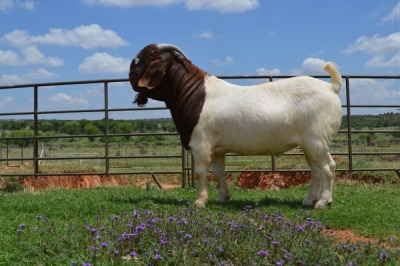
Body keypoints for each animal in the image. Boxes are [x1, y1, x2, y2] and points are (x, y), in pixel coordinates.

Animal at [130, 44, 342, 210]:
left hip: (317, 139)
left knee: (328, 167)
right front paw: (223, 197)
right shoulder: (217, 149)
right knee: (315, 169)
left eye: (147, 57)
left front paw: (200, 202)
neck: (196, 93)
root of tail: (331, 87)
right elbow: (218, 172)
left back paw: (323, 202)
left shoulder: (201, 143)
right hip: (309, 144)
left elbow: (201, 172)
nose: (130, 73)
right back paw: (308, 201)